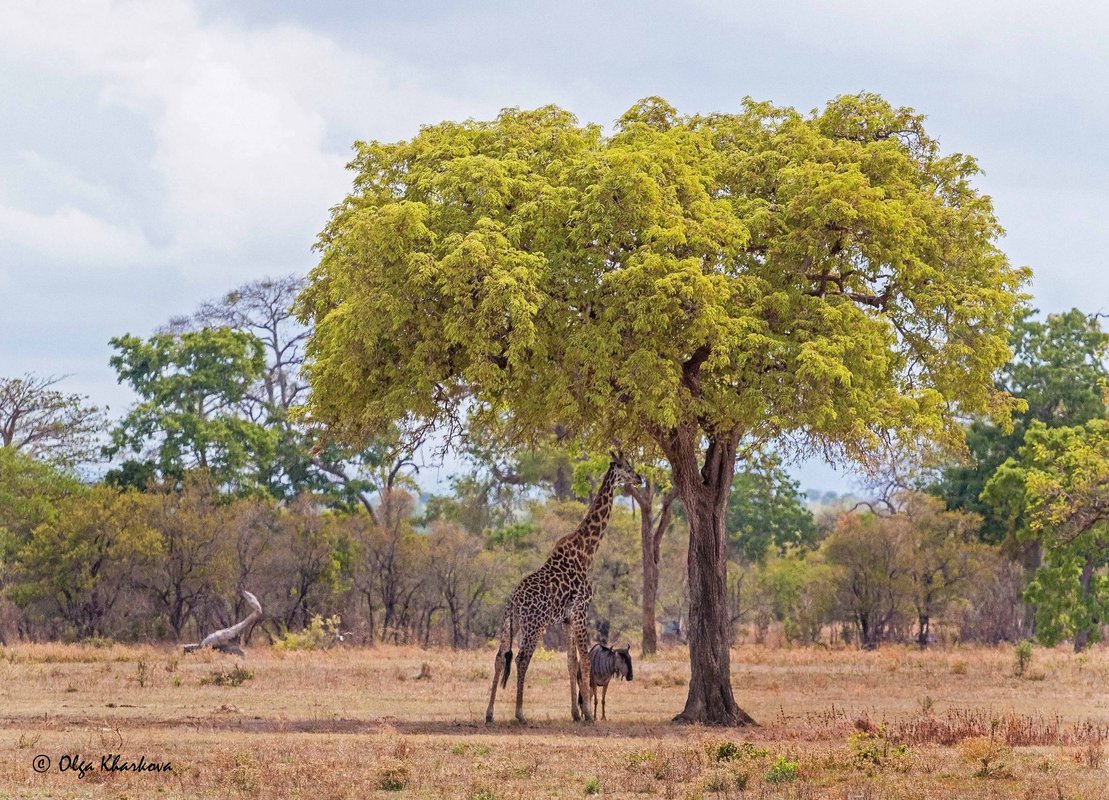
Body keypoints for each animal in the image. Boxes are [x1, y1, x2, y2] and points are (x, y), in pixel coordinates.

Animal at [485, 448, 643, 723]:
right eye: (625, 466)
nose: (640, 478)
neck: (586, 551)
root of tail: (513, 602)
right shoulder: (581, 611)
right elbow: (585, 661)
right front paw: (588, 714)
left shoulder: (567, 619)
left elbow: (572, 662)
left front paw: (576, 713)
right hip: (534, 625)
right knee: (522, 659)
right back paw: (520, 714)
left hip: (508, 624)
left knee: (498, 658)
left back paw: (490, 713)